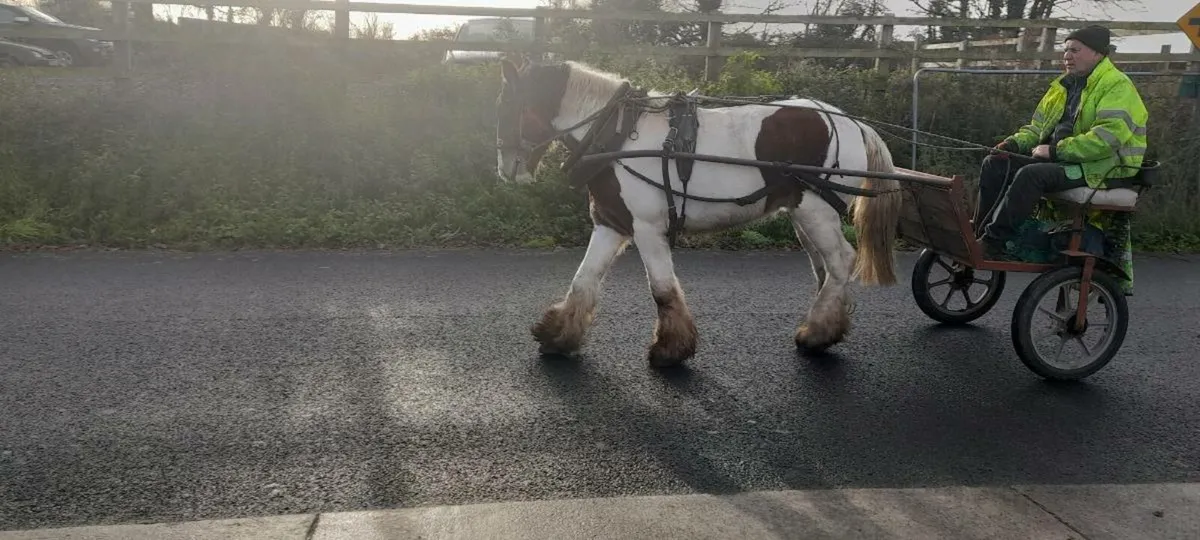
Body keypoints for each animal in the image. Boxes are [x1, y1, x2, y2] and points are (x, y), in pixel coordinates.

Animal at [494, 57, 903, 367]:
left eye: (508, 107)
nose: (505, 169)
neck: (618, 135)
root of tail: (852, 123)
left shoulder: (647, 227)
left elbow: (662, 289)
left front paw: (670, 350)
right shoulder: (611, 223)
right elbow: (583, 280)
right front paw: (558, 335)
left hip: (816, 211)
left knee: (841, 261)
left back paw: (817, 333)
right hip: (805, 215)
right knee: (824, 270)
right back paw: (825, 326)